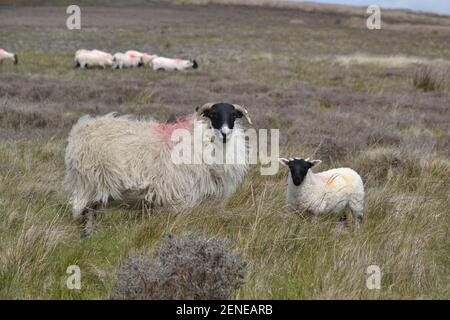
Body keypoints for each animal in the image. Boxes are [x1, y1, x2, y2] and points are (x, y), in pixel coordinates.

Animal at [64, 103, 253, 235]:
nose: (225, 133)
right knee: (84, 212)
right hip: (87, 184)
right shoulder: (180, 198)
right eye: (213, 114)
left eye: (234, 115)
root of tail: (80, 129)